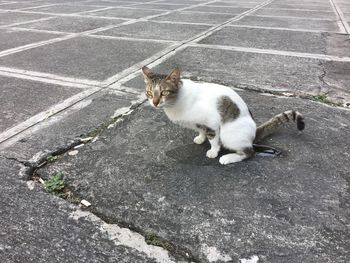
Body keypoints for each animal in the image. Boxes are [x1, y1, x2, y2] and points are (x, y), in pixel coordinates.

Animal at [141, 66, 304, 165]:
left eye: (164, 92)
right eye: (149, 93)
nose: (154, 102)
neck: (175, 103)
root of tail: (254, 132)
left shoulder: (212, 123)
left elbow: (213, 139)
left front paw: (213, 151)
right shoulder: (199, 123)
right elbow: (201, 131)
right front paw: (200, 138)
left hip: (229, 134)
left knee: (249, 152)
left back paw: (228, 158)